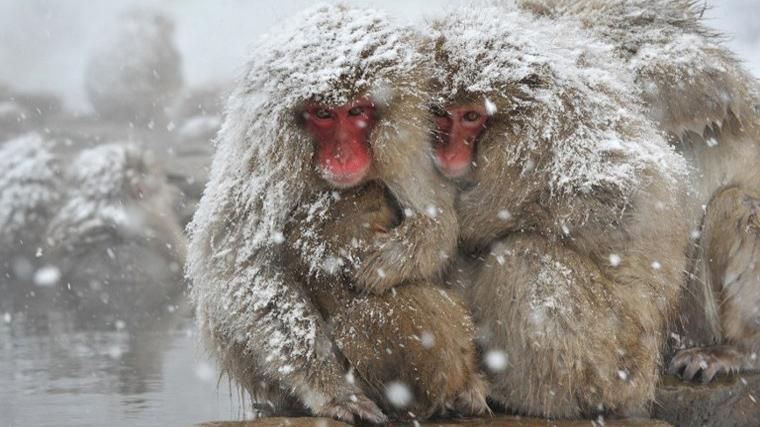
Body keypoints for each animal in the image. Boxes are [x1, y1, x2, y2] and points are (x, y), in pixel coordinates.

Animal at [190, 5, 464, 424]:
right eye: (322, 114)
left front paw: (385, 261)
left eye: (356, 111)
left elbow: (436, 222)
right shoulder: (268, 150)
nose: (342, 154)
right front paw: (332, 390)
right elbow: (243, 264)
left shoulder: (404, 143)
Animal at [428, 6, 696, 420]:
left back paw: (525, 397)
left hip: (612, 357)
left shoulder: (531, 151)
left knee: (525, 258)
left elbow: (605, 203)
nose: (449, 151)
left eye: (471, 117)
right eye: (442, 113)